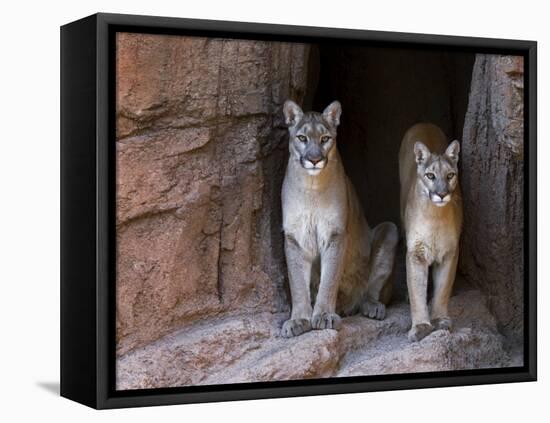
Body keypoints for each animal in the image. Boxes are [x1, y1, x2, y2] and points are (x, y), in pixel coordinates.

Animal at [282, 99, 398, 338]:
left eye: (325, 139)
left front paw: (324, 315)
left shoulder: (335, 234)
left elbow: (329, 279)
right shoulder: (294, 237)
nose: (314, 159)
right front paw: (298, 319)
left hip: (390, 230)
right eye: (302, 138)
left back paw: (372, 306)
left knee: (372, 290)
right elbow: (297, 284)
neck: (311, 187)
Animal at [398, 124, 464, 342]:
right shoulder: (416, 253)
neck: (435, 216)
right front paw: (420, 326)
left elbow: (443, 288)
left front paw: (440, 320)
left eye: (450, 175)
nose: (442, 194)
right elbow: (417, 291)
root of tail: (423, 123)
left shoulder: (450, 252)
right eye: (430, 176)